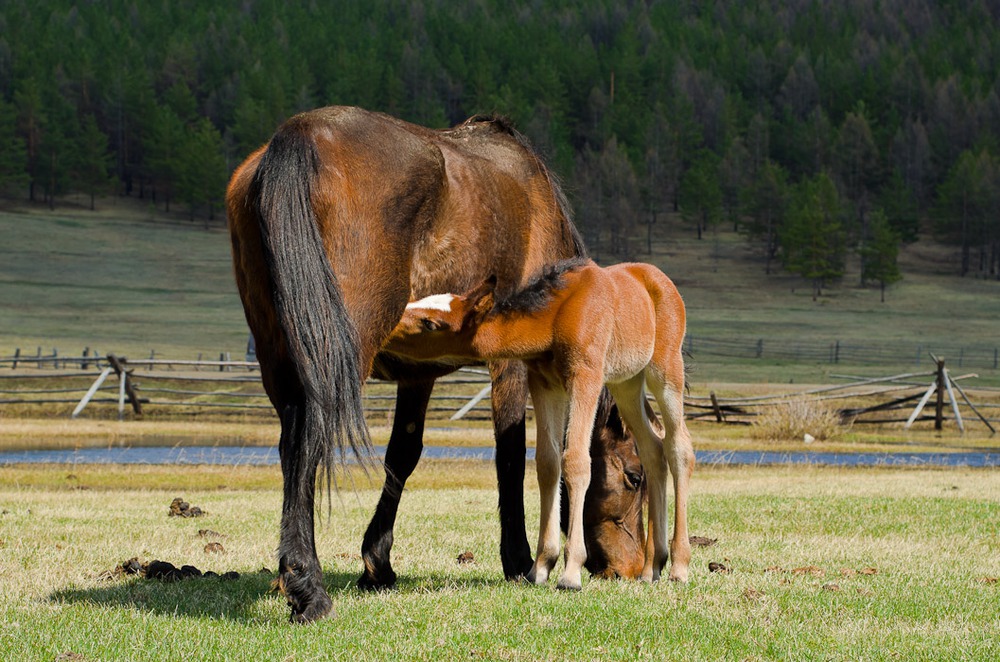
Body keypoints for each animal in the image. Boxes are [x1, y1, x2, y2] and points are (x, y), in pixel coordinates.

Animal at [226, 107, 644, 624]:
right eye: (634, 477)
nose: (635, 568)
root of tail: (301, 133)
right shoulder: (510, 365)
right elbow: (511, 454)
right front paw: (519, 560)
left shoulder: (418, 373)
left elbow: (402, 456)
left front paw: (377, 563)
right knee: (308, 444)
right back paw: (309, 587)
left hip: (280, 360)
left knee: (291, 448)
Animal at [382, 260, 696, 592]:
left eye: (430, 323)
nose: (388, 325)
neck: (556, 317)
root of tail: (658, 279)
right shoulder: (545, 385)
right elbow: (547, 464)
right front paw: (542, 567)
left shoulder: (586, 378)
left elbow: (576, 462)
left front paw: (570, 572)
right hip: (627, 383)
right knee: (653, 448)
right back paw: (652, 567)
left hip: (665, 371)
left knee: (678, 448)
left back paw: (678, 566)